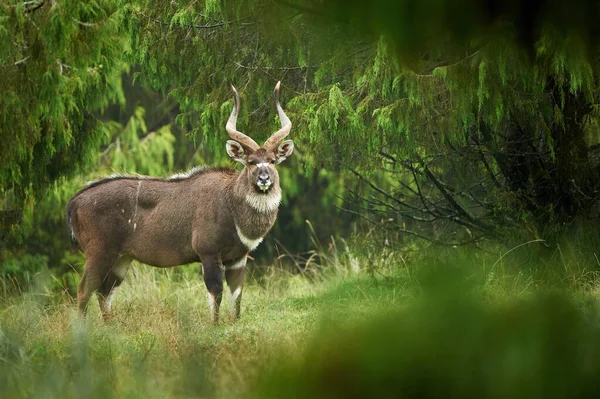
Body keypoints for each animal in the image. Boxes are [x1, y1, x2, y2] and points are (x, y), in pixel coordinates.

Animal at [67, 81, 294, 322]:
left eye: (272, 160)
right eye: (251, 162)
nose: (264, 179)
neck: (231, 202)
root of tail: (75, 202)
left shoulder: (238, 258)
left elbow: (237, 296)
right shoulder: (208, 253)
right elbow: (216, 293)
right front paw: (214, 326)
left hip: (122, 258)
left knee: (104, 292)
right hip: (99, 253)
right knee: (84, 290)